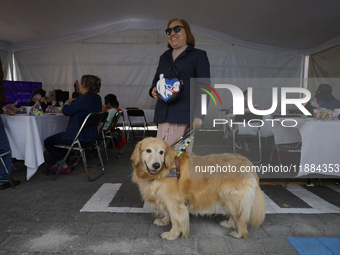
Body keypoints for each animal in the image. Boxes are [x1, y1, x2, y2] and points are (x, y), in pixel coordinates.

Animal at [130, 137, 266, 239]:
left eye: (161, 152)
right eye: (148, 150)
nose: (156, 165)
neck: (164, 171)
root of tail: (248, 163)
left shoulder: (175, 203)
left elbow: (176, 220)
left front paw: (172, 234)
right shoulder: (166, 200)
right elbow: (168, 214)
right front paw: (164, 221)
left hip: (232, 198)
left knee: (241, 217)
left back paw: (239, 233)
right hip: (227, 198)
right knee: (234, 215)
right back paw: (229, 224)